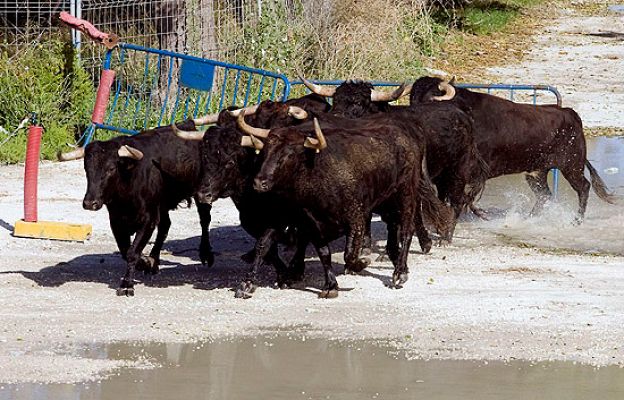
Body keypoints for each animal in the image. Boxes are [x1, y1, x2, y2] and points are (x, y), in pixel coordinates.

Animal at [410, 76, 616, 217]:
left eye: (429, 100)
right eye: (412, 100)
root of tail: (569, 113)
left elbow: (465, 193)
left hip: (572, 165)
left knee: (583, 188)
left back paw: (576, 220)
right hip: (537, 172)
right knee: (544, 195)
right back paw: (530, 218)